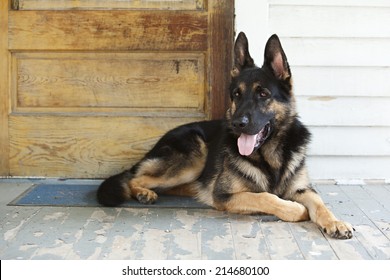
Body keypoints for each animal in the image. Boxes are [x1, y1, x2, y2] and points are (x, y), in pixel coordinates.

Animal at [97, 32, 354, 238]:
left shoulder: (304, 190)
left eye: (263, 94)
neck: (271, 156)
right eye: (236, 95)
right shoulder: (225, 195)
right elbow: (266, 197)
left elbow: (320, 204)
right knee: (134, 178)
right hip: (193, 158)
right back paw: (144, 192)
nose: (237, 123)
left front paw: (335, 222)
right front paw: (295, 209)